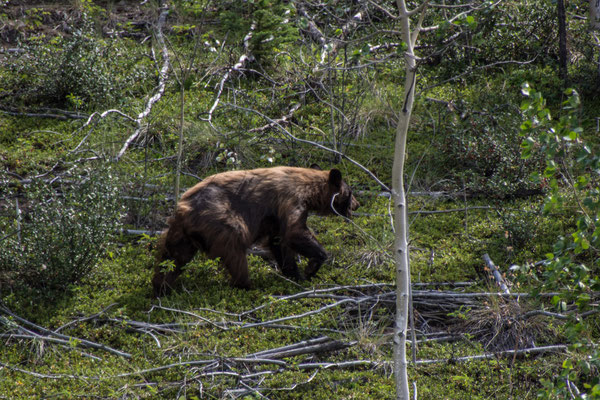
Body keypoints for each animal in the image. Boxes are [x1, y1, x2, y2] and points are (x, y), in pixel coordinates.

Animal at [152, 164, 358, 296]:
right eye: (350, 193)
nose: (357, 204)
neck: (307, 186)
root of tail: (184, 211)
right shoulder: (290, 198)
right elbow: (294, 232)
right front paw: (312, 266)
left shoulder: (275, 217)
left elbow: (279, 242)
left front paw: (295, 274)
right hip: (220, 222)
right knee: (235, 250)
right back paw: (246, 285)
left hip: (179, 235)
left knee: (171, 259)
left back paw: (160, 288)